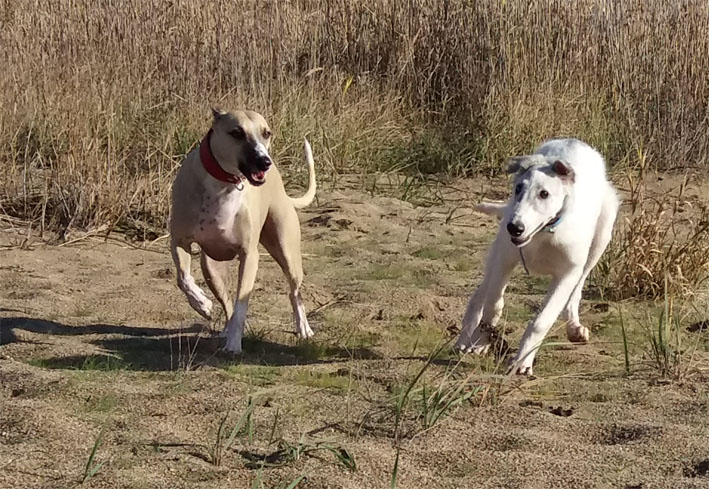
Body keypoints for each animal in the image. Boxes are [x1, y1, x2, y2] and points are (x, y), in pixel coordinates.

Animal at [169, 108, 317, 353]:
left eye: (266, 133)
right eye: (236, 132)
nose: (264, 162)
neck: (223, 184)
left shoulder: (249, 256)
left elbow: (241, 304)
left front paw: (234, 344)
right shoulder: (179, 241)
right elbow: (183, 278)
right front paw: (202, 303)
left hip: (287, 252)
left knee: (294, 292)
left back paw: (303, 328)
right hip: (212, 269)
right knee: (227, 304)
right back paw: (224, 326)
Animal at [455, 138, 619, 375]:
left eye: (544, 194)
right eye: (518, 188)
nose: (515, 228)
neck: (543, 234)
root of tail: (574, 141)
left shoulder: (567, 274)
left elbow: (541, 322)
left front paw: (522, 361)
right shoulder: (505, 259)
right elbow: (493, 305)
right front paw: (482, 339)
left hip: (600, 239)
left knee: (576, 291)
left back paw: (574, 327)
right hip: (497, 252)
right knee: (481, 293)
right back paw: (467, 338)